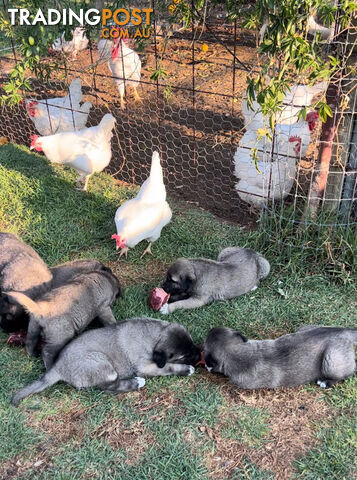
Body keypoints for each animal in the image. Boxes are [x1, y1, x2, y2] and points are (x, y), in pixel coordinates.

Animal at [11, 316, 200, 406]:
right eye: (184, 356)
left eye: (193, 345)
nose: (200, 355)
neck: (154, 335)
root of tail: (58, 368)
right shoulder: (146, 366)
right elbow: (167, 367)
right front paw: (186, 369)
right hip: (102, 363)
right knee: (107, 387)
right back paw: (135, 383)